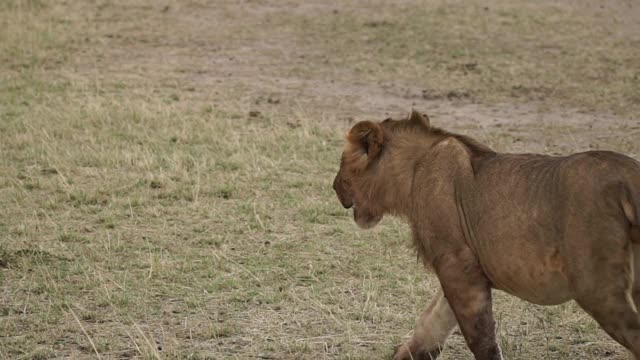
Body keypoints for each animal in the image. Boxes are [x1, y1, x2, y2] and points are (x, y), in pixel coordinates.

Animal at [332, 111, 640, 358]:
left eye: (342, 163)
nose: (333, 187)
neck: (413, 171)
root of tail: (629, 176)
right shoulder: (465, 268)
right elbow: (430, 326)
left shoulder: (457, 265)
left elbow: (480, 338)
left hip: (596, 286)